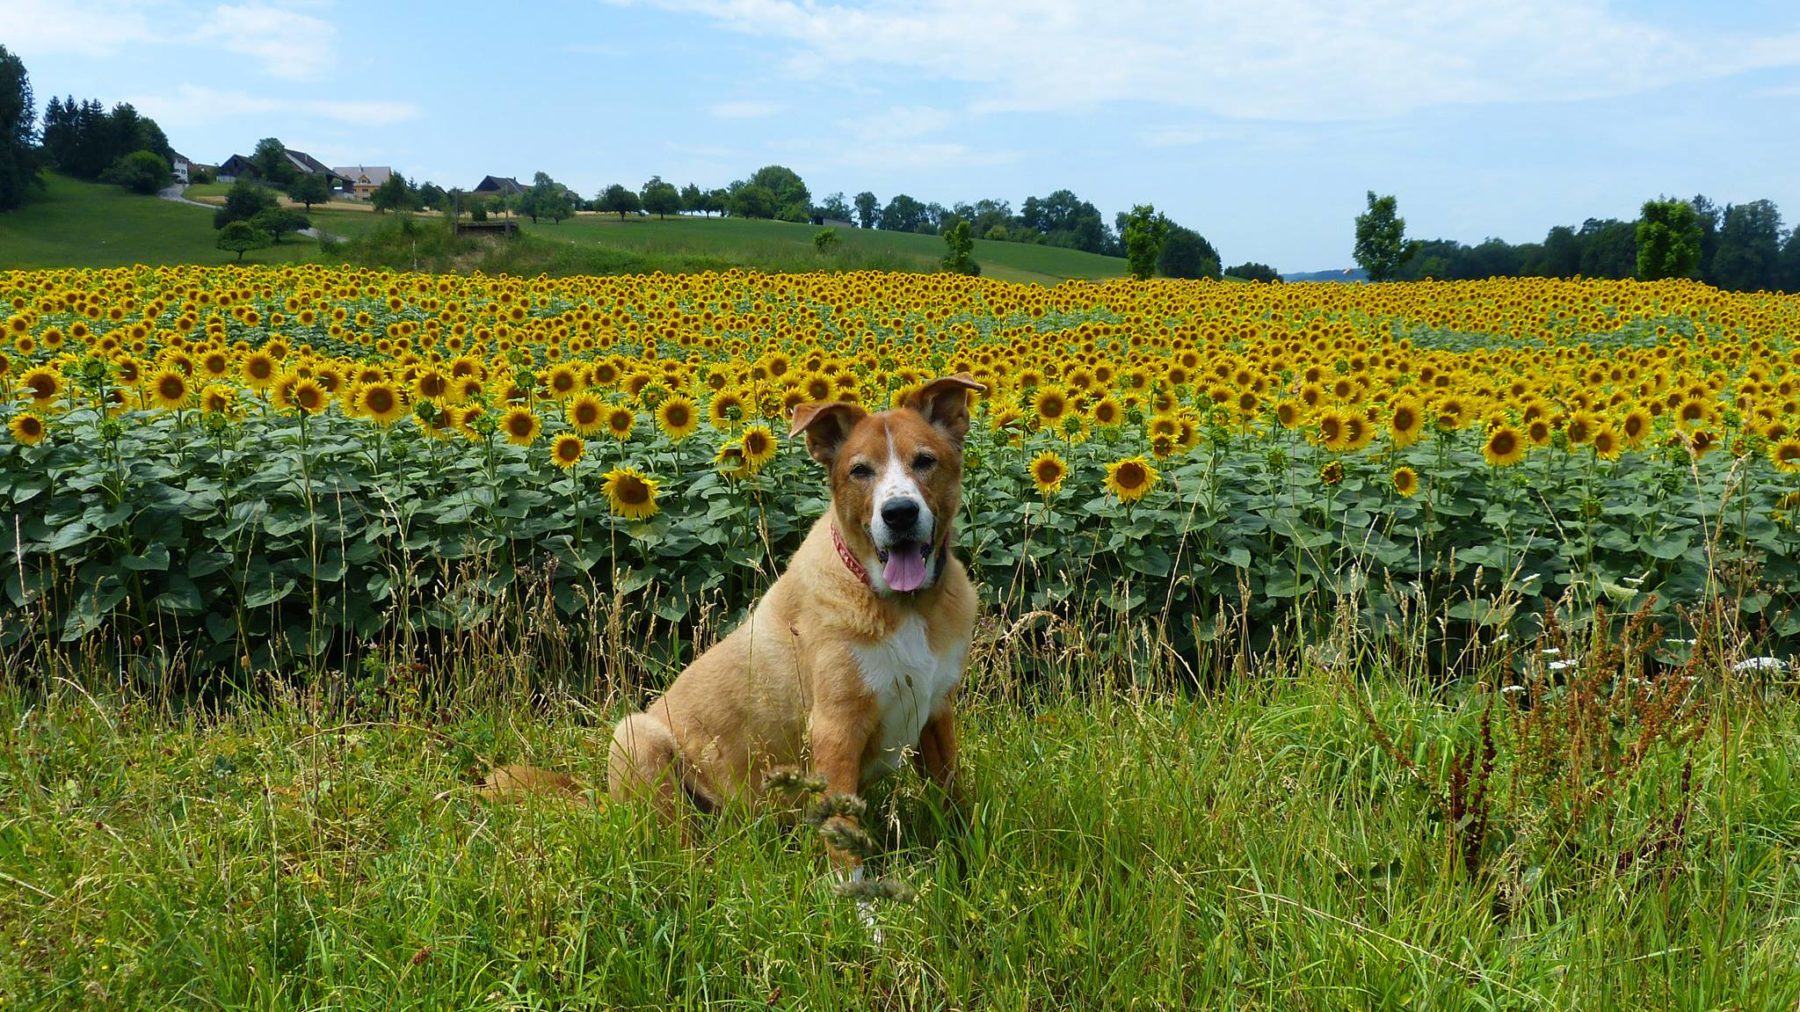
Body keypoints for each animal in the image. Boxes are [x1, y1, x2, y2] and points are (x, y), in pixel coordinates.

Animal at [493, 370, 986, 875]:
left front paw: (968, 861)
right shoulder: (835, 730)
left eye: (924, 461)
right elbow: (844, 838)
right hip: (635, 737)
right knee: (678, 844)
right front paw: (854, 895)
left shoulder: (937, 714)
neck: (906, 607)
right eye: (860, 470)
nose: (899, 513)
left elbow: (953, 798)